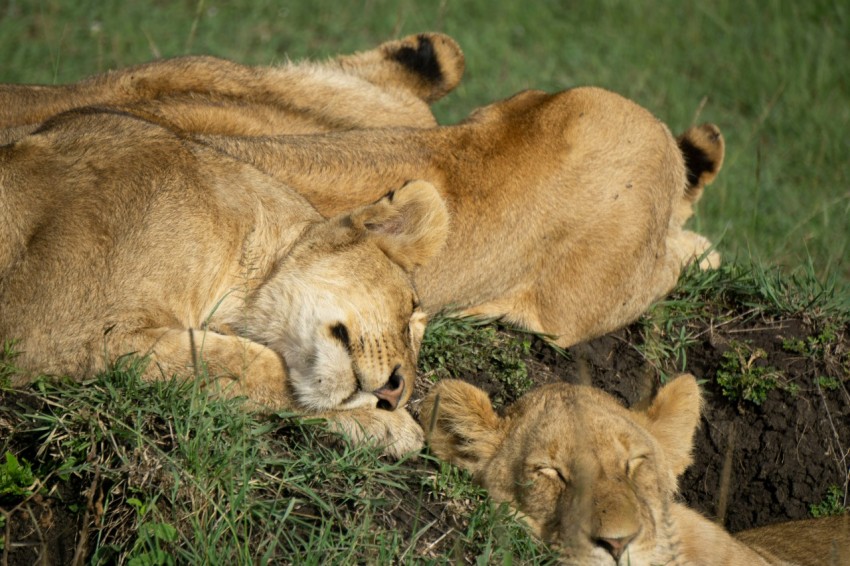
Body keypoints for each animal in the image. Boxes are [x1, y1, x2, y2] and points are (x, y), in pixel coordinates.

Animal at [0, 108, 450, 458]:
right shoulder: (58, 333)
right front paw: (395, 425)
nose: (394, 395)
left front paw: (378, 424)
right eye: (410, 312)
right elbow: (248, 364)